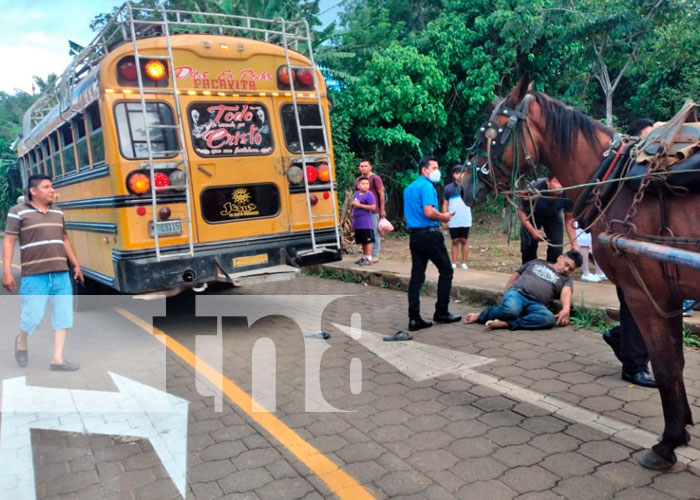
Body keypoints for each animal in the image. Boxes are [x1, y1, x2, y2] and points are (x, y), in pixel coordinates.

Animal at [462, 76, 696, 470]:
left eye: (490, 130)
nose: (464, 185)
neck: (616, 178)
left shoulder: (648, 292)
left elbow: (667, 365)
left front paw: (668, 443)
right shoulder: (664, 293)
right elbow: (673, 363)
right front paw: (678, 432)